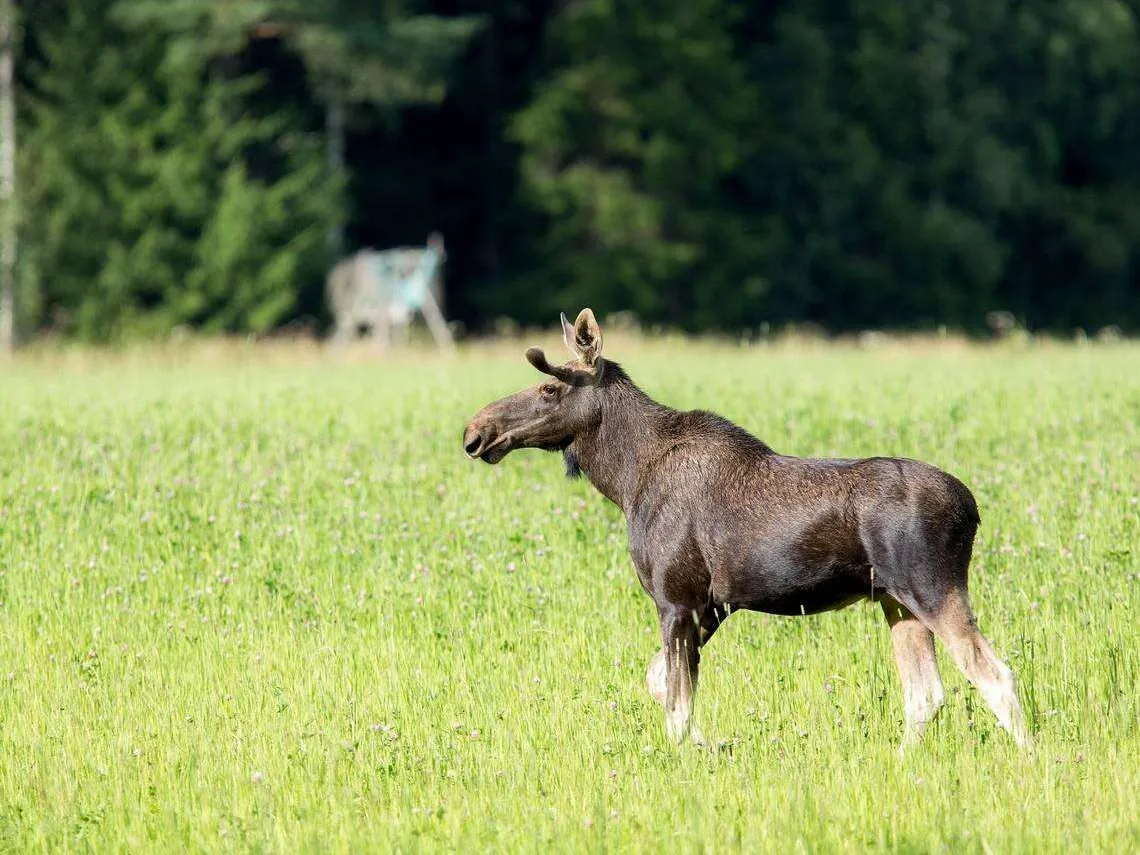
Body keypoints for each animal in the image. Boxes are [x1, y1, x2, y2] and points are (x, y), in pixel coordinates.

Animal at [462, 312, 1035, 752]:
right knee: (926, 693)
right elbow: (661, 684)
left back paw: (1031, 760)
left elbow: (675, 701)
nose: (475, 432)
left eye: (549, 386)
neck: (625, 480)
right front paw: (710, 746)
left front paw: (687, 754)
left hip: (931, 587)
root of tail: (972, 508)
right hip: (895, 600)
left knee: (994, 673)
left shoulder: (679, 597)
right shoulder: (711, 604)